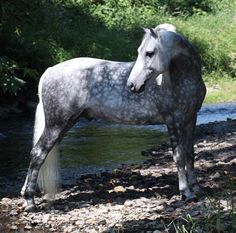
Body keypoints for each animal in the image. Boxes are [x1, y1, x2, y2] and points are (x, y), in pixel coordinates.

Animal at [21, 23, 206, 209]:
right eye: (141, 51)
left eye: (149, 53)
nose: (132, 85)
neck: (181, 79)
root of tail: (48, 71)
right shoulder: (173, 121)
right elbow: (179, 156)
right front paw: (186, 192)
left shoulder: (190, 119)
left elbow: (190, 154)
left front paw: (197, 188)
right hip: (56, 124)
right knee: (38, 153)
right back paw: (30, 200)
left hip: (65, 124)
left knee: (41, 153)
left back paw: (24, 194)